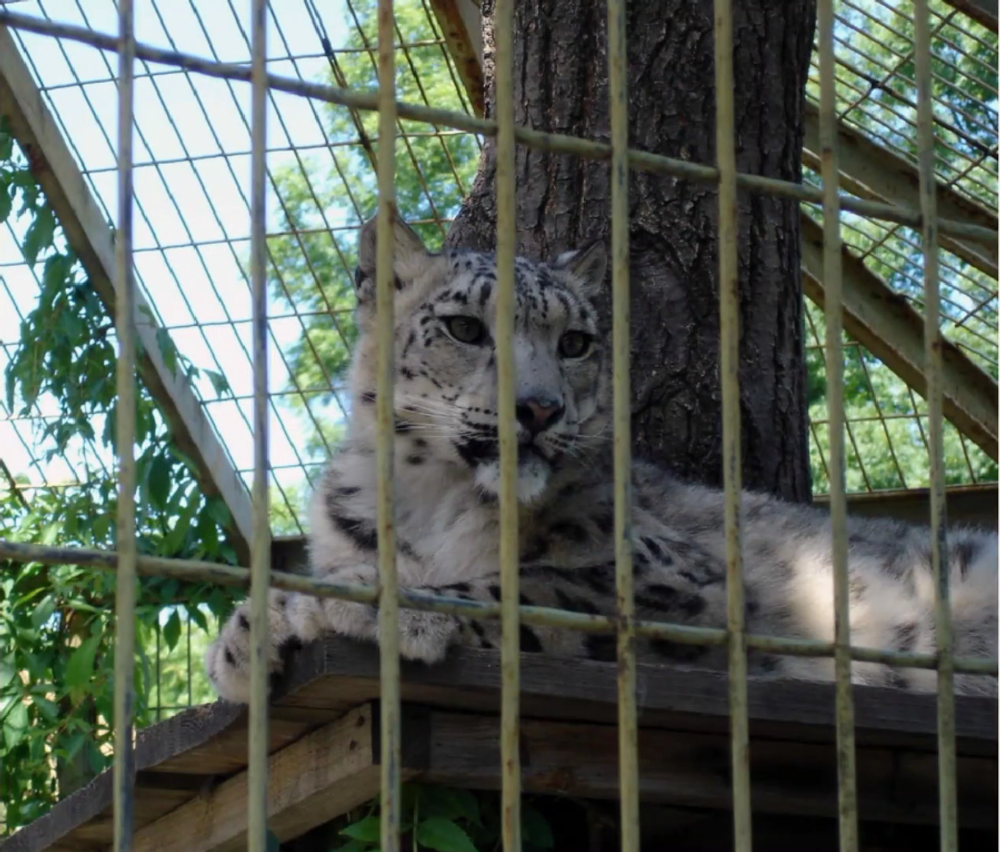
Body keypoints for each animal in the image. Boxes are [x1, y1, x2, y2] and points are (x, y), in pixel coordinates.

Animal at [205, 216, 1000, 704]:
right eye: (464, 328)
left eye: (575, 342)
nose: (539, 409)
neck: (430, 499)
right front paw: (243, 642)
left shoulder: (677, 575)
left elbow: (528, 584)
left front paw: (373, 607)